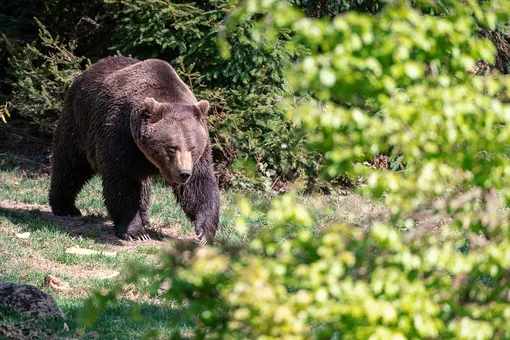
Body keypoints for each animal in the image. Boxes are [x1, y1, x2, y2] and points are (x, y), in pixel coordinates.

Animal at [48, 55, 221, 243]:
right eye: (172, 147)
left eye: (192, 147)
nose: (183, 173)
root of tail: (86, 72)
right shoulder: (120, 136)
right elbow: (122, 182)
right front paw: (135, 232)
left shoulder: (198, 155)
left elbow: (199, 185)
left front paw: (204, 232)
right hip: (79, 124)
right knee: (70, 165)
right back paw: (65, 207)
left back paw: (145, 217)